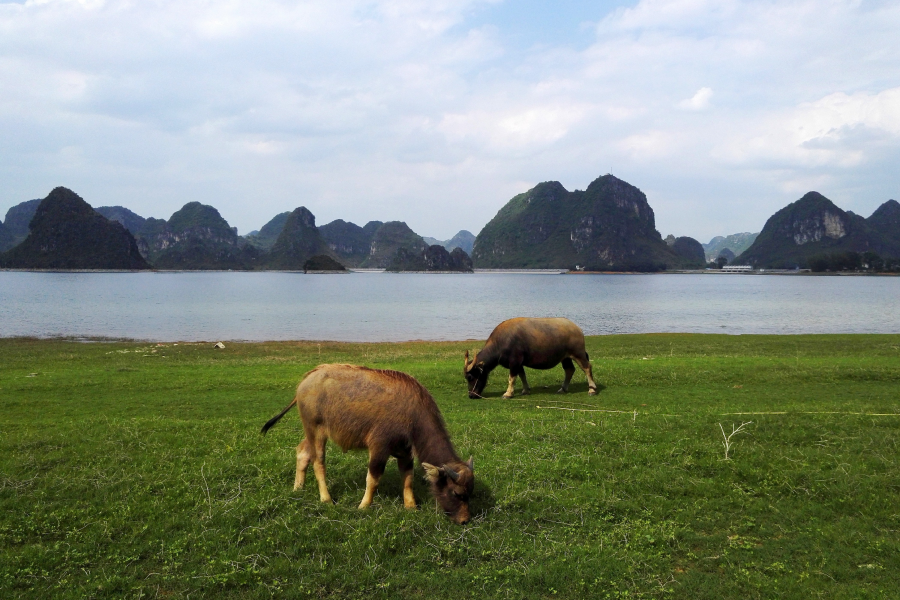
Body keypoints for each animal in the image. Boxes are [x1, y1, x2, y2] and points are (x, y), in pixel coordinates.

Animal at [260, 360, 474, 524]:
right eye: (457, 493)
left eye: (470, 493)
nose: (465, 520)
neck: (412, 413)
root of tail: (307, 379)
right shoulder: (379, 447)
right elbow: (373, 478)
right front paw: (363, 506)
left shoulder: (405, 452)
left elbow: (408, 479)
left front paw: (411, 506)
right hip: (317, 431)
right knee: (318, 462)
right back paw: (326, 498)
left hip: (311, 432)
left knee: (303, 452)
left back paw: (298, 487)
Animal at [464, 318, 596, 398]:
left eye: (470, 377)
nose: (471, 395)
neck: (500, 343)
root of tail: (577, 329)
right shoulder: (519, 363)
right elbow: (522, 376)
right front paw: (525, 390)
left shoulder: (514, 362)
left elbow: (512, 378)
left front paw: (508, 393)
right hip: (566, 357)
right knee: (569, 370)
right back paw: (563, 389)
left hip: (578, 354)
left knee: (587, 367)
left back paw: (592, 389)